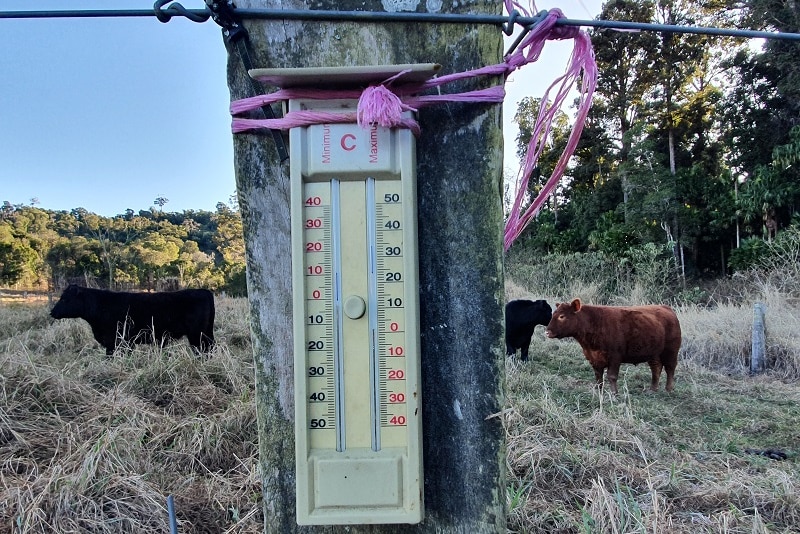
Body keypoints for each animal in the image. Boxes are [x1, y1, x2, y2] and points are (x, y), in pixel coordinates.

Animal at [50, 284, 216, 356]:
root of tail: (203, 291)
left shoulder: (118, 341)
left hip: (197, 335)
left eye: (65, 299)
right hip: (206, 333)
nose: (52, 312)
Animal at [544, 300, 680, 396]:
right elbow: (598, 376)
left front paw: (614, 393)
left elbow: (612, 376)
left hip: (671, 350)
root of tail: (666, 308)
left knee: (670, 368)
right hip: (653, 352)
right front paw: (598, 391)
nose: (547, 332)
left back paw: (668, 389)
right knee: (656, 367)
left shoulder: (615, 357)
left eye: (562, 316)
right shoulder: (593, 357)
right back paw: (652, 389)